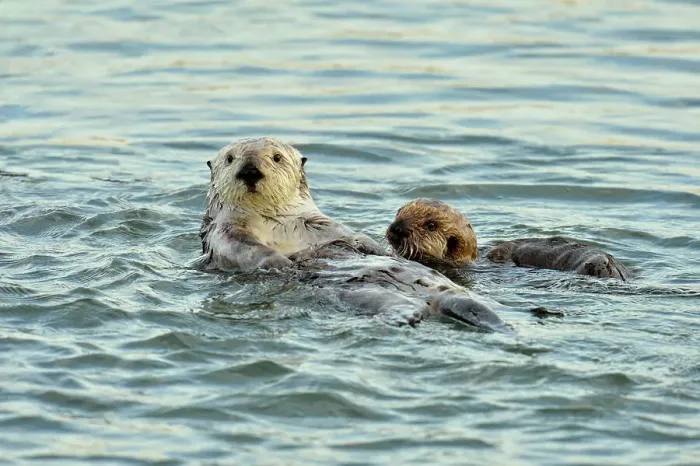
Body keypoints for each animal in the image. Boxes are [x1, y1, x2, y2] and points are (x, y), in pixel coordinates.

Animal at [199, 137, 542, 331]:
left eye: (276, 157)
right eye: (230, 159)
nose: (250, 170)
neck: (273, 220)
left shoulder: (320, 222)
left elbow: (350, 235)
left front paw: (376, 249)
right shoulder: (226, 232)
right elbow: (242, 247)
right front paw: (280, 263)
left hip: (461, 294)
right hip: (372, 296)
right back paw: (407, 319)